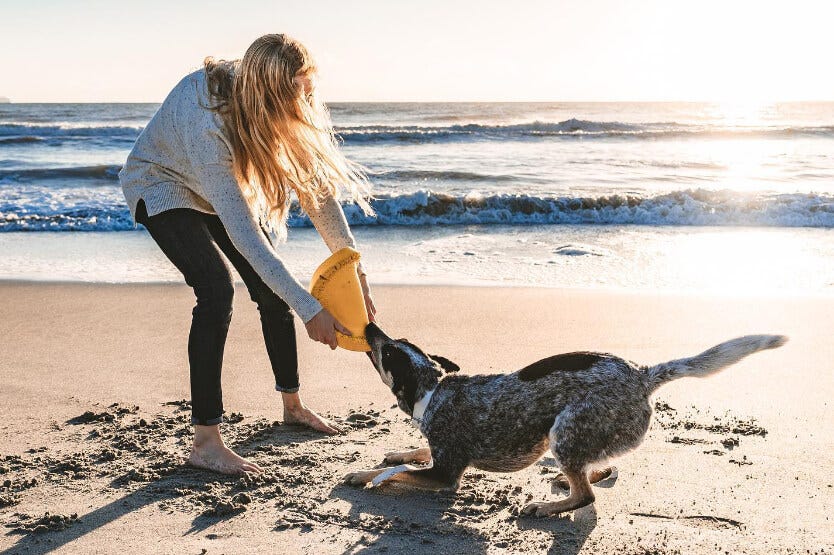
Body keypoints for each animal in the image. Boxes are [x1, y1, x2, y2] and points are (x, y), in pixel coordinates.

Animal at [342, 324, 784, 520]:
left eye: (388, 352)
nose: (369, 326)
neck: (433, 391)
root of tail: (643, 374)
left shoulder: (445, 474)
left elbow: (398, 473)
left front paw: (365, 476)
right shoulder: (436, 451)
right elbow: (411, 452)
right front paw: (389, 456)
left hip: (565, 430)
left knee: (586, 494)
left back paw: (548, 505)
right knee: (601, 465)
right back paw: (576, 477)